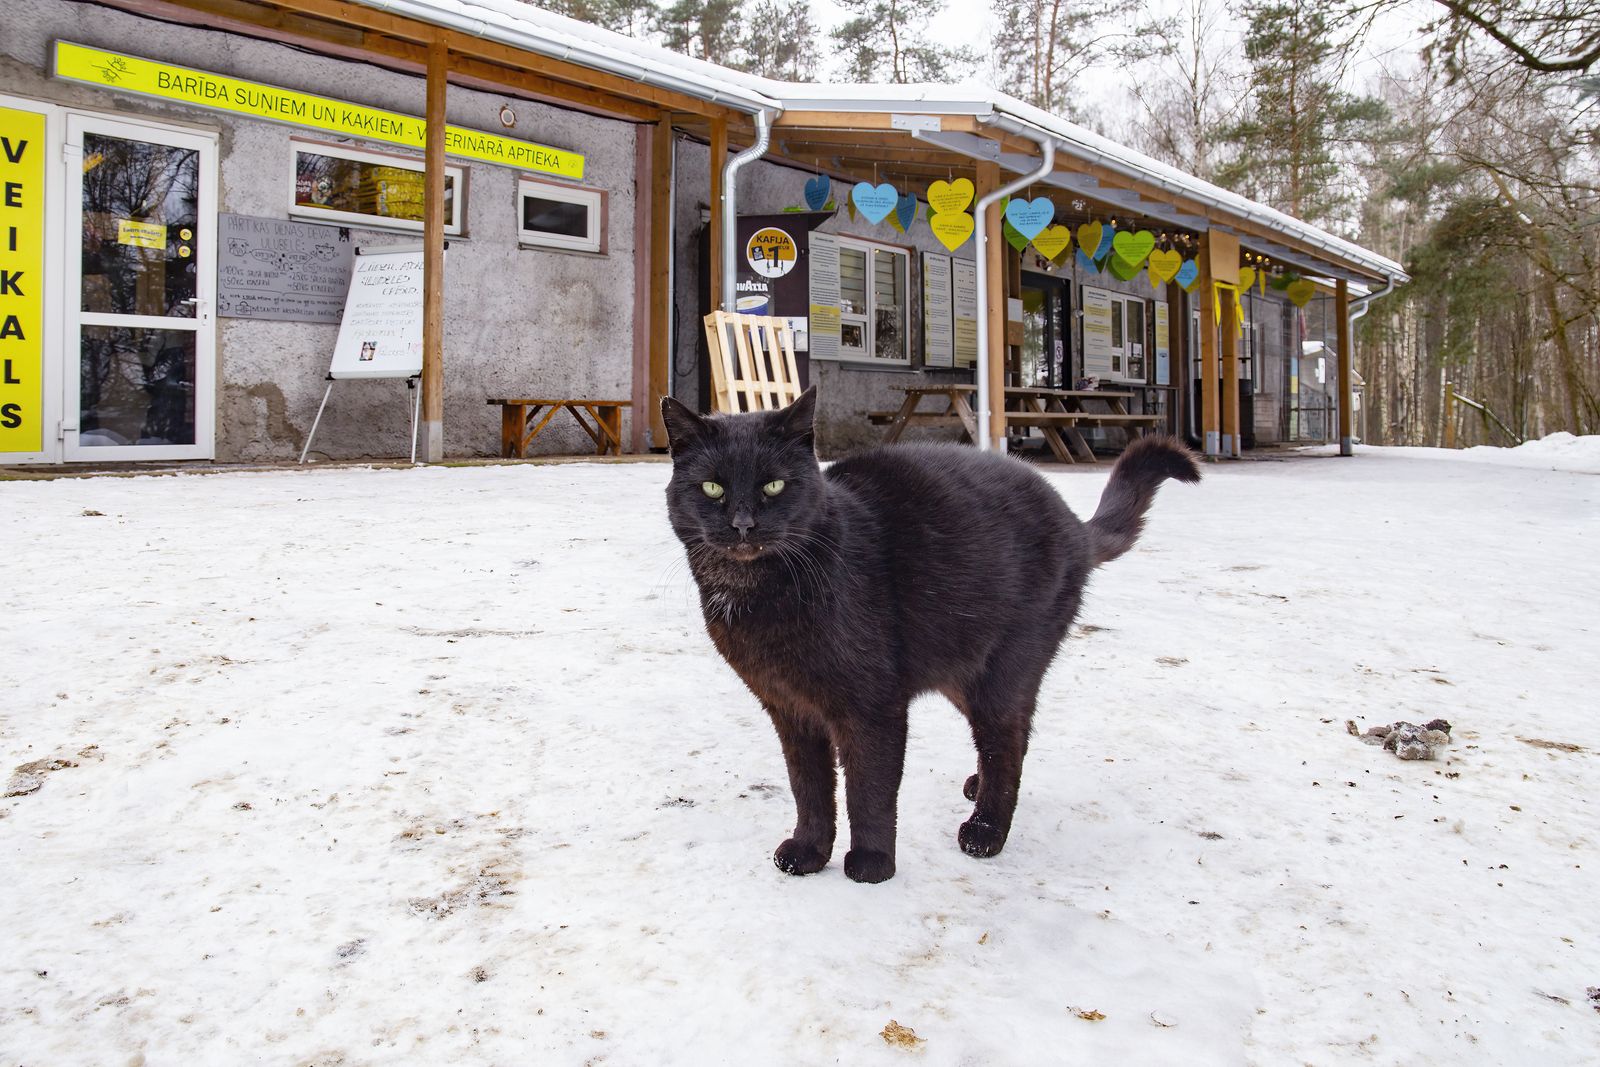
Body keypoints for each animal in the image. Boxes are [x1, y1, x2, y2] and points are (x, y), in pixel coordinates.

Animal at [661, 387, 1200, 884]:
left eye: (774, 485)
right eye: (712, 488)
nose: (743, 524)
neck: (758, 596)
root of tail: (1075, 525)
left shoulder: (872, 705)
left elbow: (869, 788)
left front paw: (872, 864)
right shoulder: (789, 708)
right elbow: (808, 787)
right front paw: (809, 852)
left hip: (1004, 669)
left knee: (1006, 743)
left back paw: (985, 831)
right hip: (962, 669)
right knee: (1016, 733)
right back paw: (977, 787)